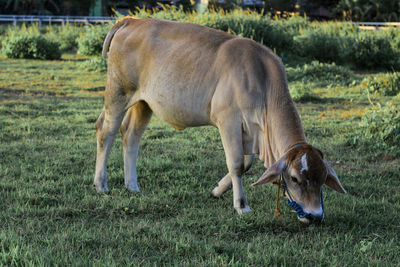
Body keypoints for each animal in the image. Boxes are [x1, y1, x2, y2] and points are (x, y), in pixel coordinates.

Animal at [94, 16, 346, 224]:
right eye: (294, 179)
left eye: (323, 178)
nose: (315, 216)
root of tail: (131, 20)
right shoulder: (228, 121)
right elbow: (236, 164)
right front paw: (241, 205)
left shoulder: (250, 130)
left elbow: (246, 163)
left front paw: (217, 190)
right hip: (118, 92)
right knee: (106, 131)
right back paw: (101, 185)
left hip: (144, 103)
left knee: (131, 136)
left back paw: (132, 186)